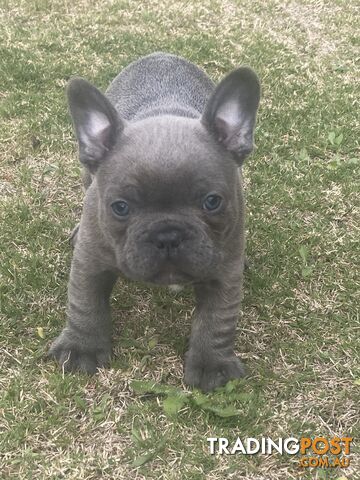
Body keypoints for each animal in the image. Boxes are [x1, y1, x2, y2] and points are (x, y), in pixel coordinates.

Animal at [49, 51, 260, 394]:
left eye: (212, 202)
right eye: (120, 207)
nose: (168, 235)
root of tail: (162, 56)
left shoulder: (223, 274)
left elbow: (217, 321)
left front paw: (212, 364)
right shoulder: (90, 262)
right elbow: (84, 303)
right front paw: (81, 348)